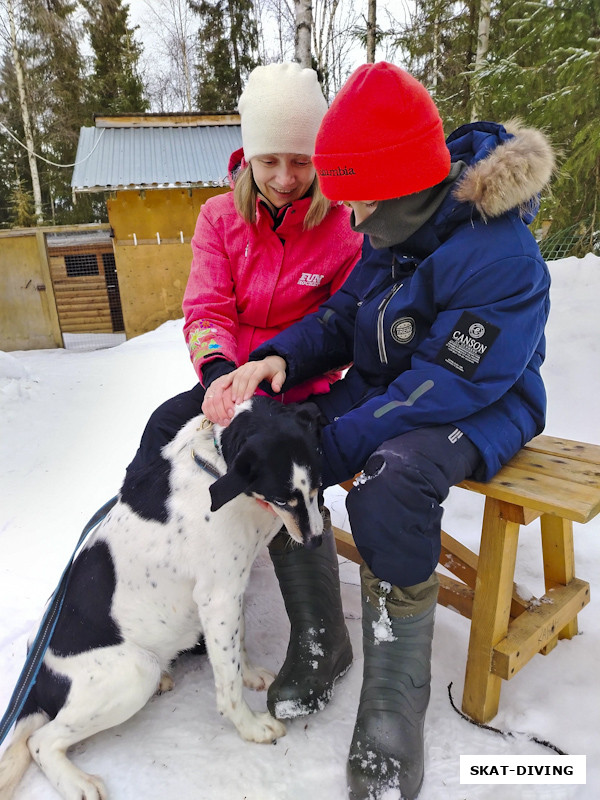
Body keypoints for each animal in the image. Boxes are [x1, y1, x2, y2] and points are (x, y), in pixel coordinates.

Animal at [0, 396, 324, 800]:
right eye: (282, 498)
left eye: (318, 485)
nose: (316, 541)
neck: (216, 471)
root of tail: (37, 677)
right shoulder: (218, 596)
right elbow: (228, 681)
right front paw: (250, 726)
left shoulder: (231, 589)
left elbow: (238, 648)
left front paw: (249, 673)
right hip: (136, 671)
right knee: (39, 742)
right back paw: (78, 784)